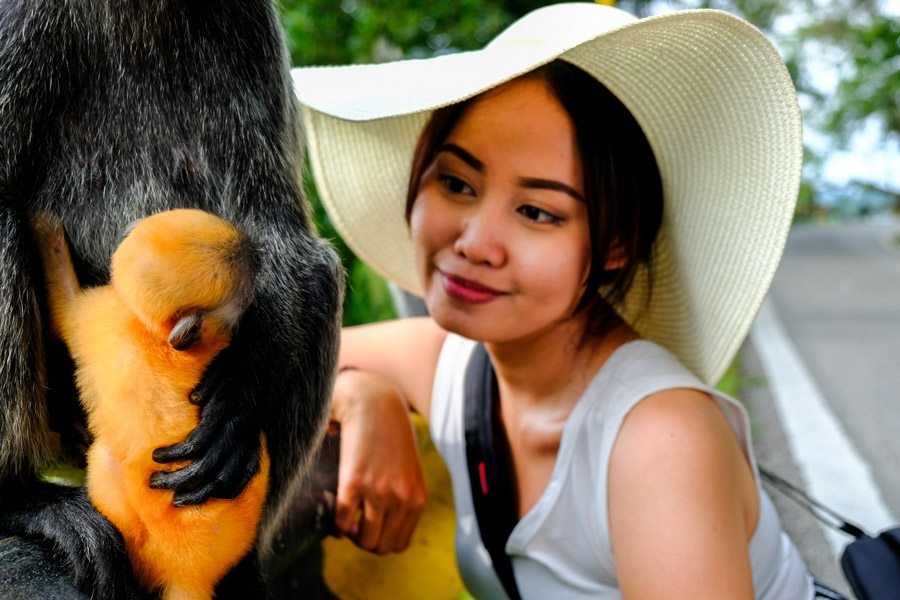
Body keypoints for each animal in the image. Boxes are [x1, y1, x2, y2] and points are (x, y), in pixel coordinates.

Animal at [32, 209, 271, 600]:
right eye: (242, 298)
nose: (254, 254)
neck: (153, 332)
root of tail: (191, 574)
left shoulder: (102, 315)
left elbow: (65, 310)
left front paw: (41, 226)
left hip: (146, 540)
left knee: (104, 460)